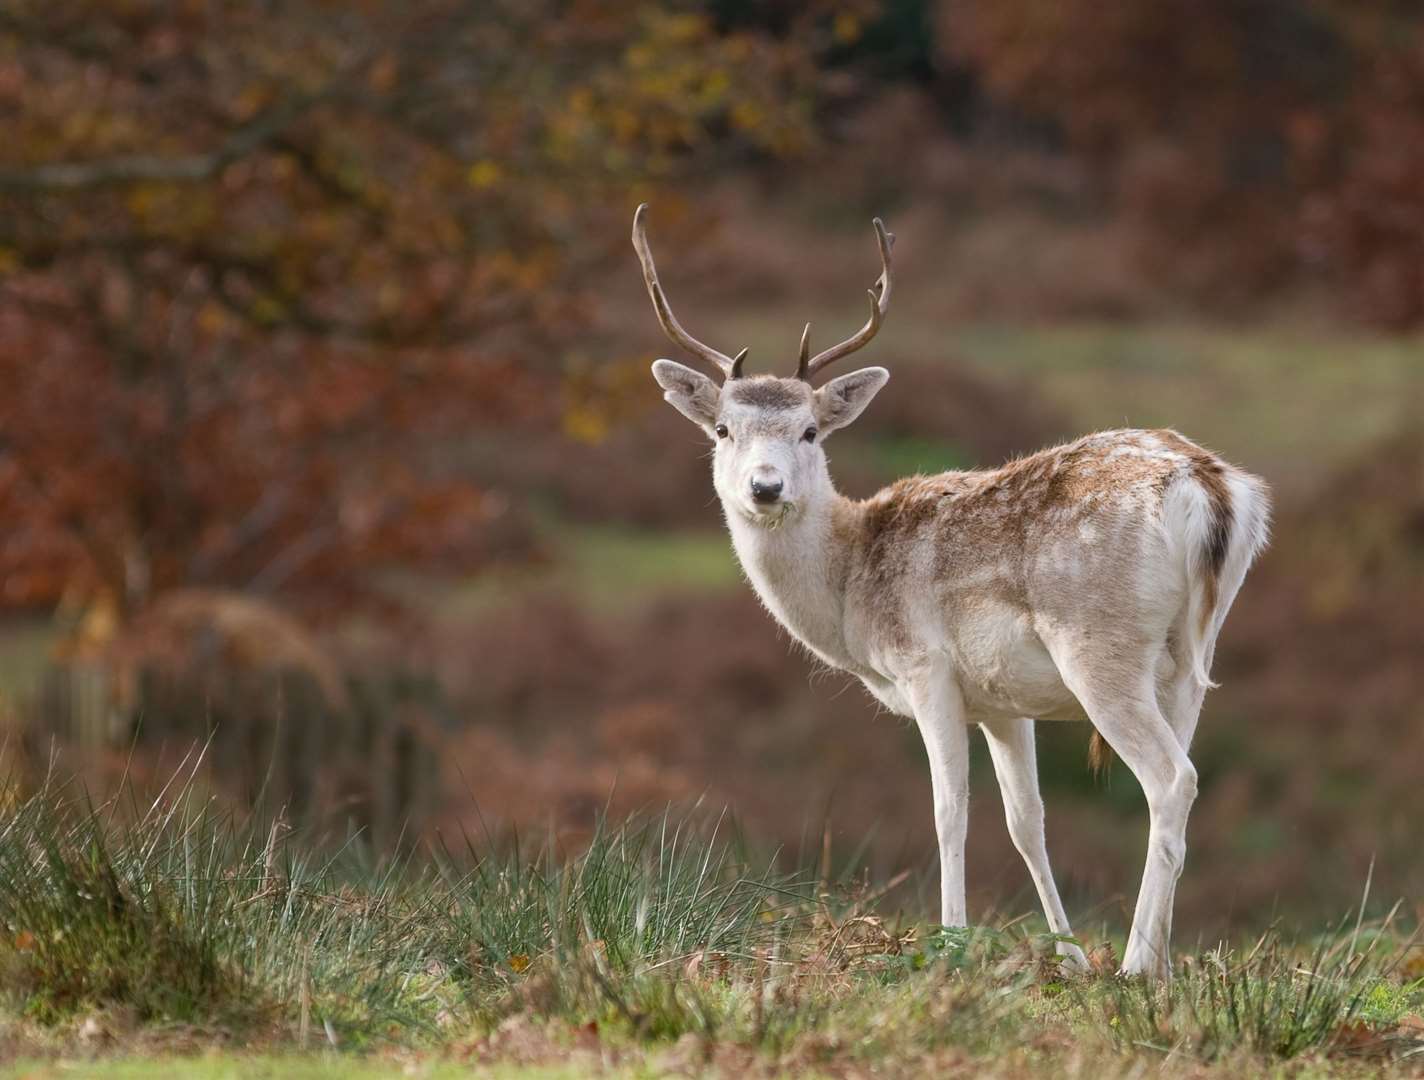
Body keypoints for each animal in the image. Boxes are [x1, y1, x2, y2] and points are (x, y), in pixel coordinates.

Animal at [632, 202, 1270, 980]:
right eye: (723, 429)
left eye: (810, 430)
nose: (765, 487)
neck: (851, 591)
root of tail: (1211, 489)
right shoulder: (1002, 702)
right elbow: (1027, 821)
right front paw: (1067, 961)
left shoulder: (926, 666)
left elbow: (949, 812)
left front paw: (953, 944)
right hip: (1191, 653)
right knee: (1180, 773)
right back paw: (1165, 964)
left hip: (1100, 645)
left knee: (1170, 779)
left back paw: (1137, 965)